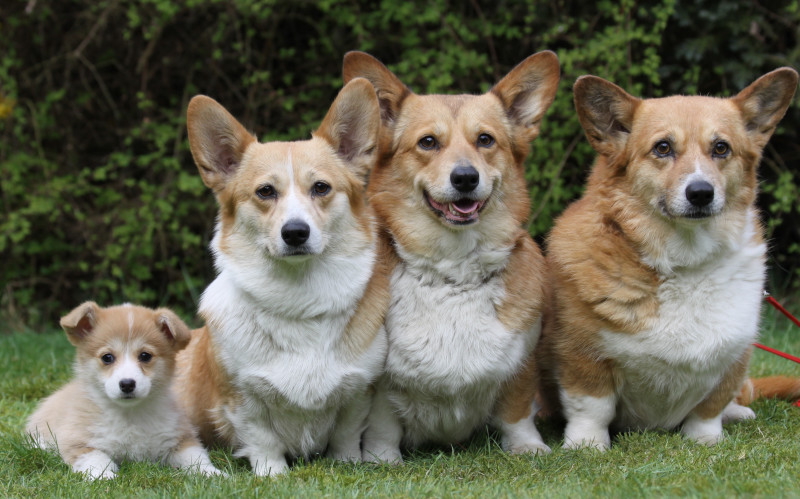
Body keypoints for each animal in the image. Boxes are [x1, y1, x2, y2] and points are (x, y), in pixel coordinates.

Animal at [25, 302, 220, 479]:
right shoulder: (79, 442)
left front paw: (211, 473)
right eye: (107, 357)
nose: (127, 384)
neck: (129, 415)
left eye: (145, 356)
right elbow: (97, 459)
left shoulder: (179, 438)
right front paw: (104, 476)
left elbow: (196, 457)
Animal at [176, 77, 389, 476]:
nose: (295, 233)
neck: (300, 299)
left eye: (321, 187)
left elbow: (347, 433)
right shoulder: (242, 397)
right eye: (265, 191)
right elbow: (263, 440)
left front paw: (347, 463)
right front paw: (272, 475)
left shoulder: (360, 389)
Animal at [342, 51, 560, 462]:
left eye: (485, 139)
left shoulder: (521, 365)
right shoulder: (381, 384)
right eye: (428, 142)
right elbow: (382, 425)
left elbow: (517, 412)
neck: (453, 274)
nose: (465, 178)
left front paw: (528, 446)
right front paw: (382, 460)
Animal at [537, 67, 799, 450]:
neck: (685, 262)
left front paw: (706, 441)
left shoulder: (732, 358)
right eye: (663, 147)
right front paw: (586, 446)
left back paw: (739, 412)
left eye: (721, 148)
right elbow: (592, 407)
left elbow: (709, 409)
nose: (701, 193)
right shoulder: (581, 354)